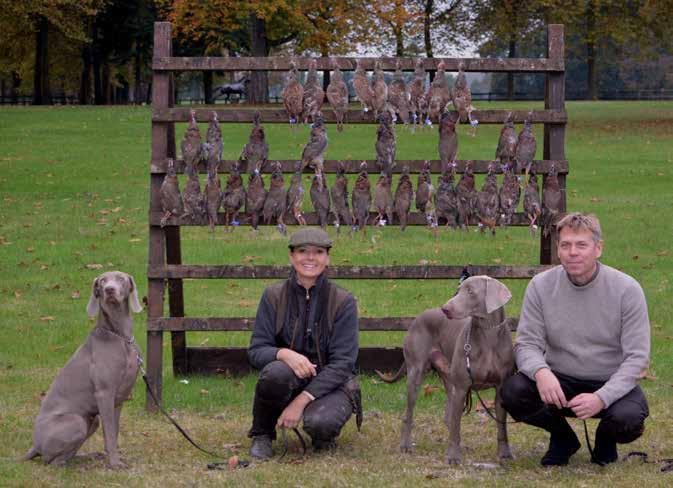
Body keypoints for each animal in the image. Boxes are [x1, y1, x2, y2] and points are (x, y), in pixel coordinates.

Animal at [24, 272, 143, 468]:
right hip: (76, 421)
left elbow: (113, 432)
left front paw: (112, 458)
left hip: (92, 420)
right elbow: (110, 434)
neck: (120, 337)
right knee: (52, 461)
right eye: (102, 281)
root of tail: (34, 445)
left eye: (120, 278)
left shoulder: (118, 400)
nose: (109, 290)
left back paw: (90, 456)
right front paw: (115, 464)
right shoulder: (104, 393)